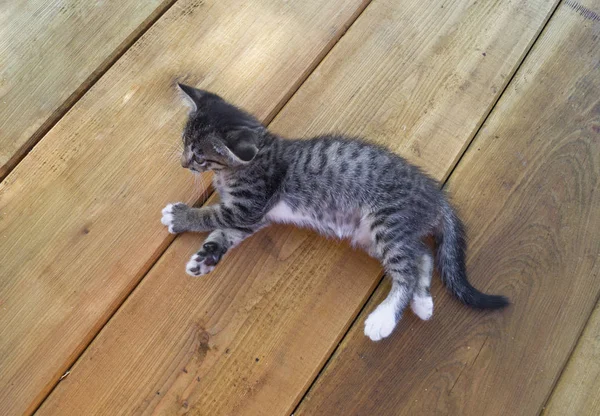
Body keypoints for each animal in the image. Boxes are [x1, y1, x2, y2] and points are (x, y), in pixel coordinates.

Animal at [162, 83, 508, 342]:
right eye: (183, 142)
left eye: (198, 156)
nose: (182, 162)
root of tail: (435, 194)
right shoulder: (253, 218)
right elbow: (224, 235)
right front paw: (205, 258)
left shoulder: (248, 205)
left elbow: (212, 216)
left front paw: (180, 216)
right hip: (374, 236)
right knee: (422, 254)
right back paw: (422, 302)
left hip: (387, 221)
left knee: (407, 271)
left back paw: (385, 318)